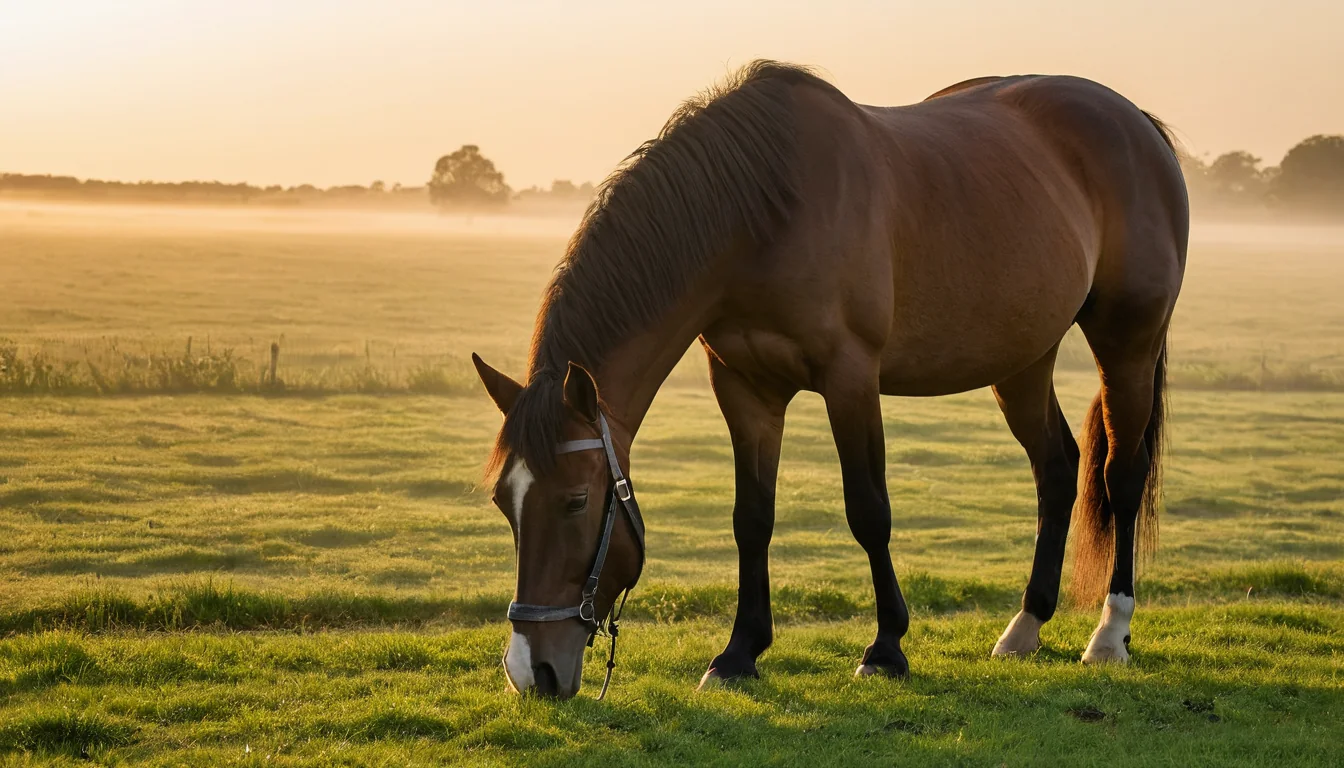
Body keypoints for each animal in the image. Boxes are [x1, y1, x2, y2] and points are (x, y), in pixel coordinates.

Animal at [471, 60, 1187, 699]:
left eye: (576, 501)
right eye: (506, 503)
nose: (532, 673)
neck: (761, 212)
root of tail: (1137, 123)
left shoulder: (851, 378)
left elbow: (869, 511)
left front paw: (886, 648)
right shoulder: (745, 388)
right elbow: (752, 517)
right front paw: (739, 652)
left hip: (1127, 342)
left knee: (1120, 477)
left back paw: (1109, 634)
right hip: (1022, 360)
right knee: (1057, 468)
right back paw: (1025, 626)